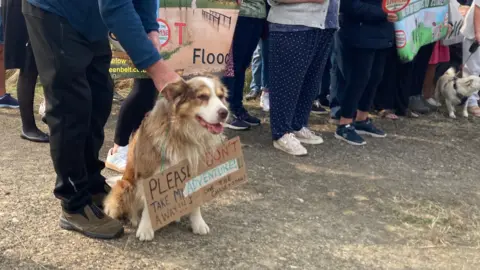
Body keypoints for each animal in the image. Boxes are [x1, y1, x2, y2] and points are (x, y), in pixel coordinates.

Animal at [102, 77, 229, 242]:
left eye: (221, 97)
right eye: (202, 97)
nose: (225, 113)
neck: (183, 134)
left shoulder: (195, 170)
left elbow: (196, 202)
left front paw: (198, 224)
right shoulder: (150, 174)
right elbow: (149, 205)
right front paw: (145, 229)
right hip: (125, 186)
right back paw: (135, 219)